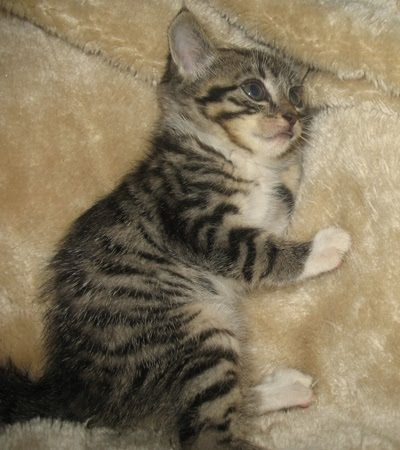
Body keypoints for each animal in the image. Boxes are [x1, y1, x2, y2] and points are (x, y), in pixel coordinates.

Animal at [0, 9, 351, 450]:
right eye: (254, 89)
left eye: (297, 95)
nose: (292, 117)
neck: (226, 153)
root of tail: (72, 391)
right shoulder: (197, 222)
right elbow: (258, 251)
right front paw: (325, 247)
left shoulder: (264, 206)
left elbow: (281, 198)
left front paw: (296, 154)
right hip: (194, 333)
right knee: (206, 427)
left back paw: (284, 389)